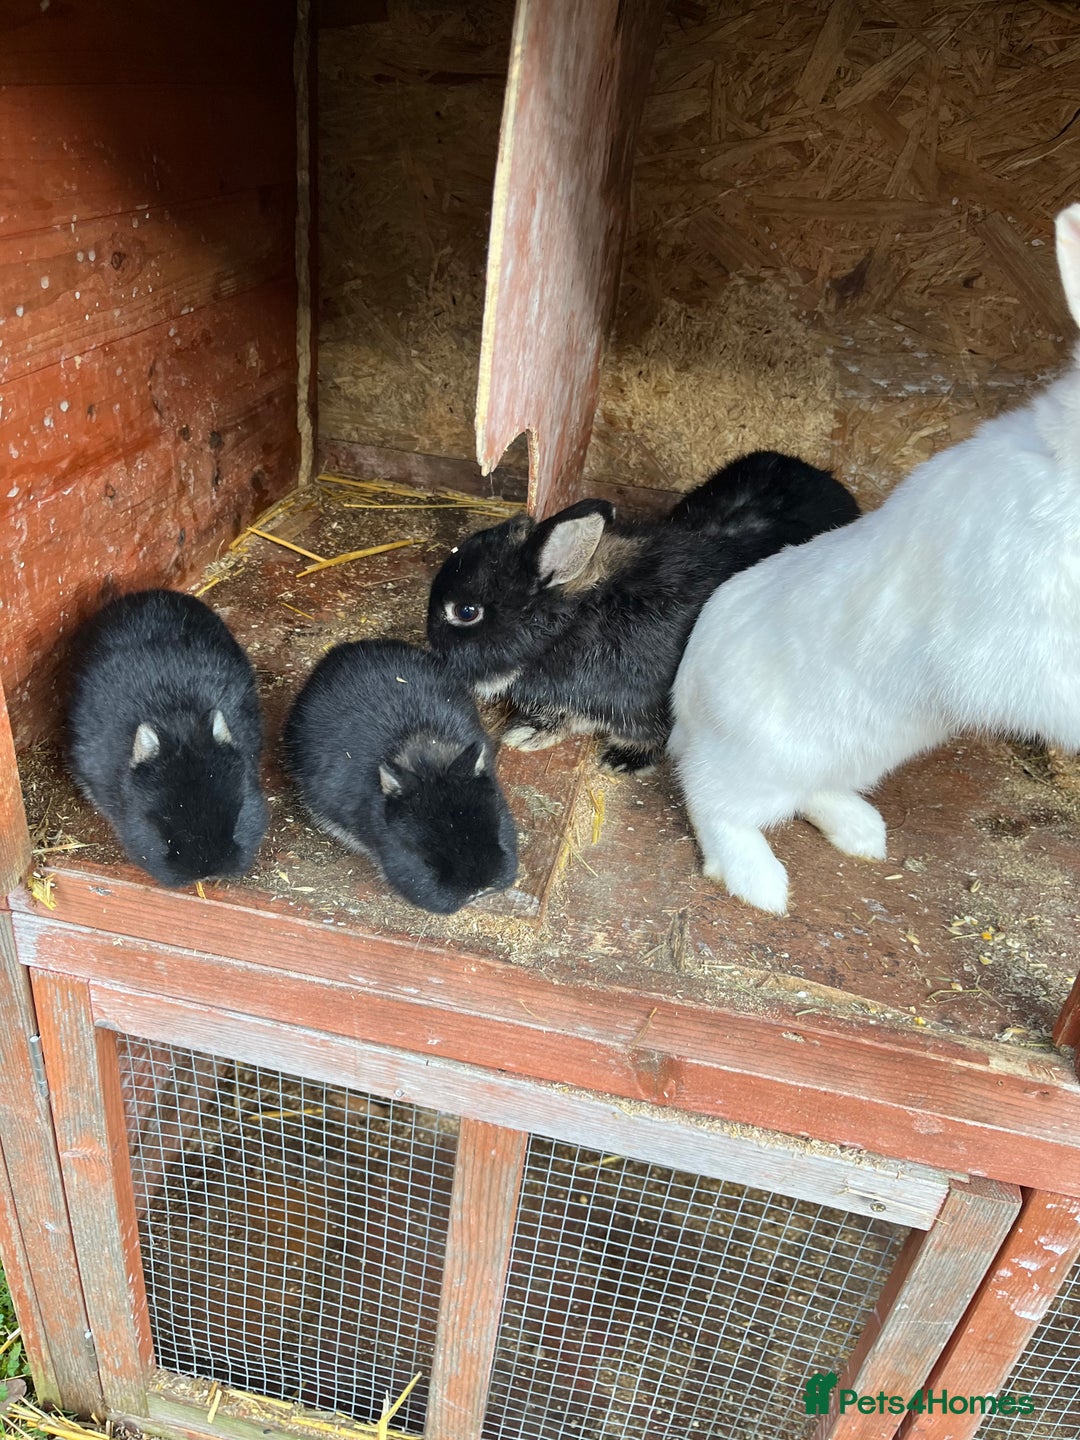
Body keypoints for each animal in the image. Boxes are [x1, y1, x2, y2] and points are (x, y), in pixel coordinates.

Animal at [426, 452, 859, 773]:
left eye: (466, 611)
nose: (433, 649)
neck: (574, 623)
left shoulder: (651, 703)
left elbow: (648, 734)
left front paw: (622, 759)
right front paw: (528, 734)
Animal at [668, 202, 1080, 917]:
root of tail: (684, 699)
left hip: (864, 751)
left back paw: (863, 834)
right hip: (763, 761)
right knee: (711, 798)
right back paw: (761, 885)